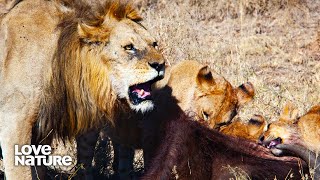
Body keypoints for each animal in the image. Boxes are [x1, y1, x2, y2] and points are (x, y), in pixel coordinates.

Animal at [0, 0, 164, 179]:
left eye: (154, 44)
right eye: (129, 47)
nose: (161, 65)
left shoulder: (47, 126)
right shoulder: (14, 119)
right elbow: (20, 171)